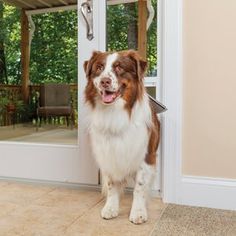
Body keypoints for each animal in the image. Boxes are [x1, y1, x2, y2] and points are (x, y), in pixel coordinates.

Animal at [83, 50, 160, 225]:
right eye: (99, 68)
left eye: (119, 68)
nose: (104, 81)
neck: (114, 112)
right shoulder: (109, 153)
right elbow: (112, 184)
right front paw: (111, 208)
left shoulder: (145, 155)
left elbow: (139, 187)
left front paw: (138, 212)